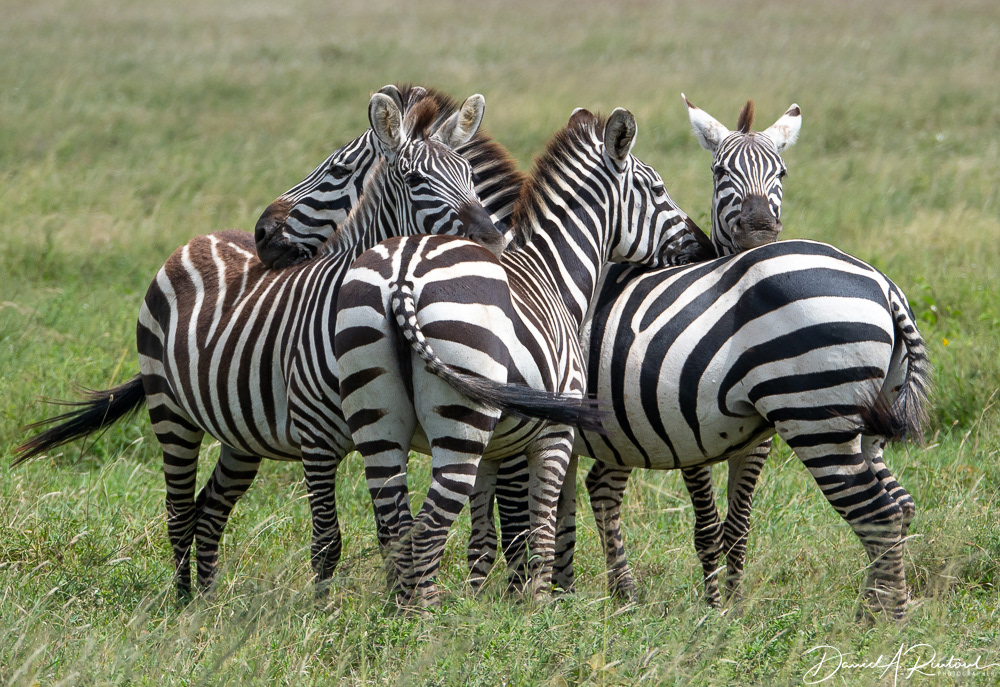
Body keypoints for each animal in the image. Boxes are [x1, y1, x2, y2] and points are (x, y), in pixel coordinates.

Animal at [15, 88, 532, 597]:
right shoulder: (316, 440)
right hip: (170, 411)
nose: (491, 238)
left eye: (469, 176)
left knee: (209, 508)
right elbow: (327, 542)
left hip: (241, 433)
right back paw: (181, 603)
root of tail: (204, 236)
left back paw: (206, 602)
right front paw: (325, 615)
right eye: (414, 179)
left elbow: (390, 533)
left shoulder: (381, 430)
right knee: (179, 511)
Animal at [334, 106, 713, 607]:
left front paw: (479, 600)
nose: (705, 248)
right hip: (462, 426)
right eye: (656, 189)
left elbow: (484, 535)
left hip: (377, 419)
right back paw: (426, 620)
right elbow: (542, 527)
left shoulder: (496, 449)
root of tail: (403, 275)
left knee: (395, 525)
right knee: (428, 527)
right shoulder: (555, 433)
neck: (554, 273)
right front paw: (539, 605)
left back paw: (399, 616)